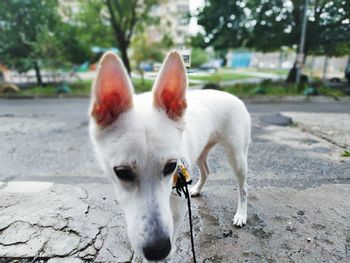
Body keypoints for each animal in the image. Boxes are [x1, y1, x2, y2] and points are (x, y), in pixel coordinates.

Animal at [89, 51, 250, 262]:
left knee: (243, 187)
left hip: (236, 156)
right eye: (122, 172)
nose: (158, 249)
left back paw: (241, 214)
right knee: (206, 170)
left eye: (171, 166)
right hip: (201, 151)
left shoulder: (179, 211)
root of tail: (233, 96)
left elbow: (172, 234)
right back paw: (197, 189)